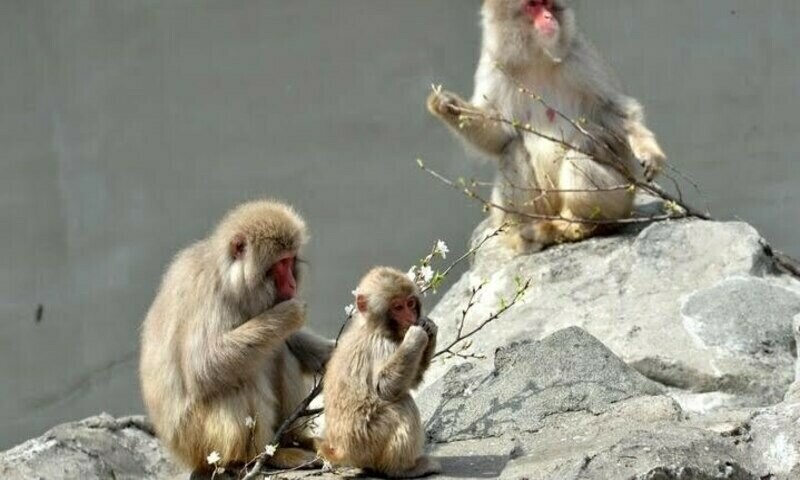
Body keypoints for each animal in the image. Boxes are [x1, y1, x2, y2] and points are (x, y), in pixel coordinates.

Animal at [139, 200, 334, 473]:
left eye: (290, 260)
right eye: (280, 264)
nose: (292, 285)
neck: (230, 279)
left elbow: (289, 339)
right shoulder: (210, 295)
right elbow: (203, 366)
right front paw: (290, 313)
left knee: (279, 351)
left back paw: (293, 439)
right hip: (201, 440)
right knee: (241, 377)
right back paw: (264, 456)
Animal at [320, 267, 440, 478]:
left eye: (410, 303)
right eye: (397, 307)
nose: (410, 319)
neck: (373, 326)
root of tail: (341, 451)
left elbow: (410, 382)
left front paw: (430, 329)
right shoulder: (380, 344)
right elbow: (385, 388)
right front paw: (416, 336)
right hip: (367, 439)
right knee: (402, 405)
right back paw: (402, 469)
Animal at [427, 0, 666, 253]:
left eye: (549, 4)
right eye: (533, 5)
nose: (548, 17)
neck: (536, 58)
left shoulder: (580, 56)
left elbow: (613, 111)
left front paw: (648, 152)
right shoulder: (493, 65)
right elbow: (500, 134)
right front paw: (446, 106)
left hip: (621, 198)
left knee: (578, 157)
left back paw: (579, 225)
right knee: (513, 151)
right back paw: (528, 233)